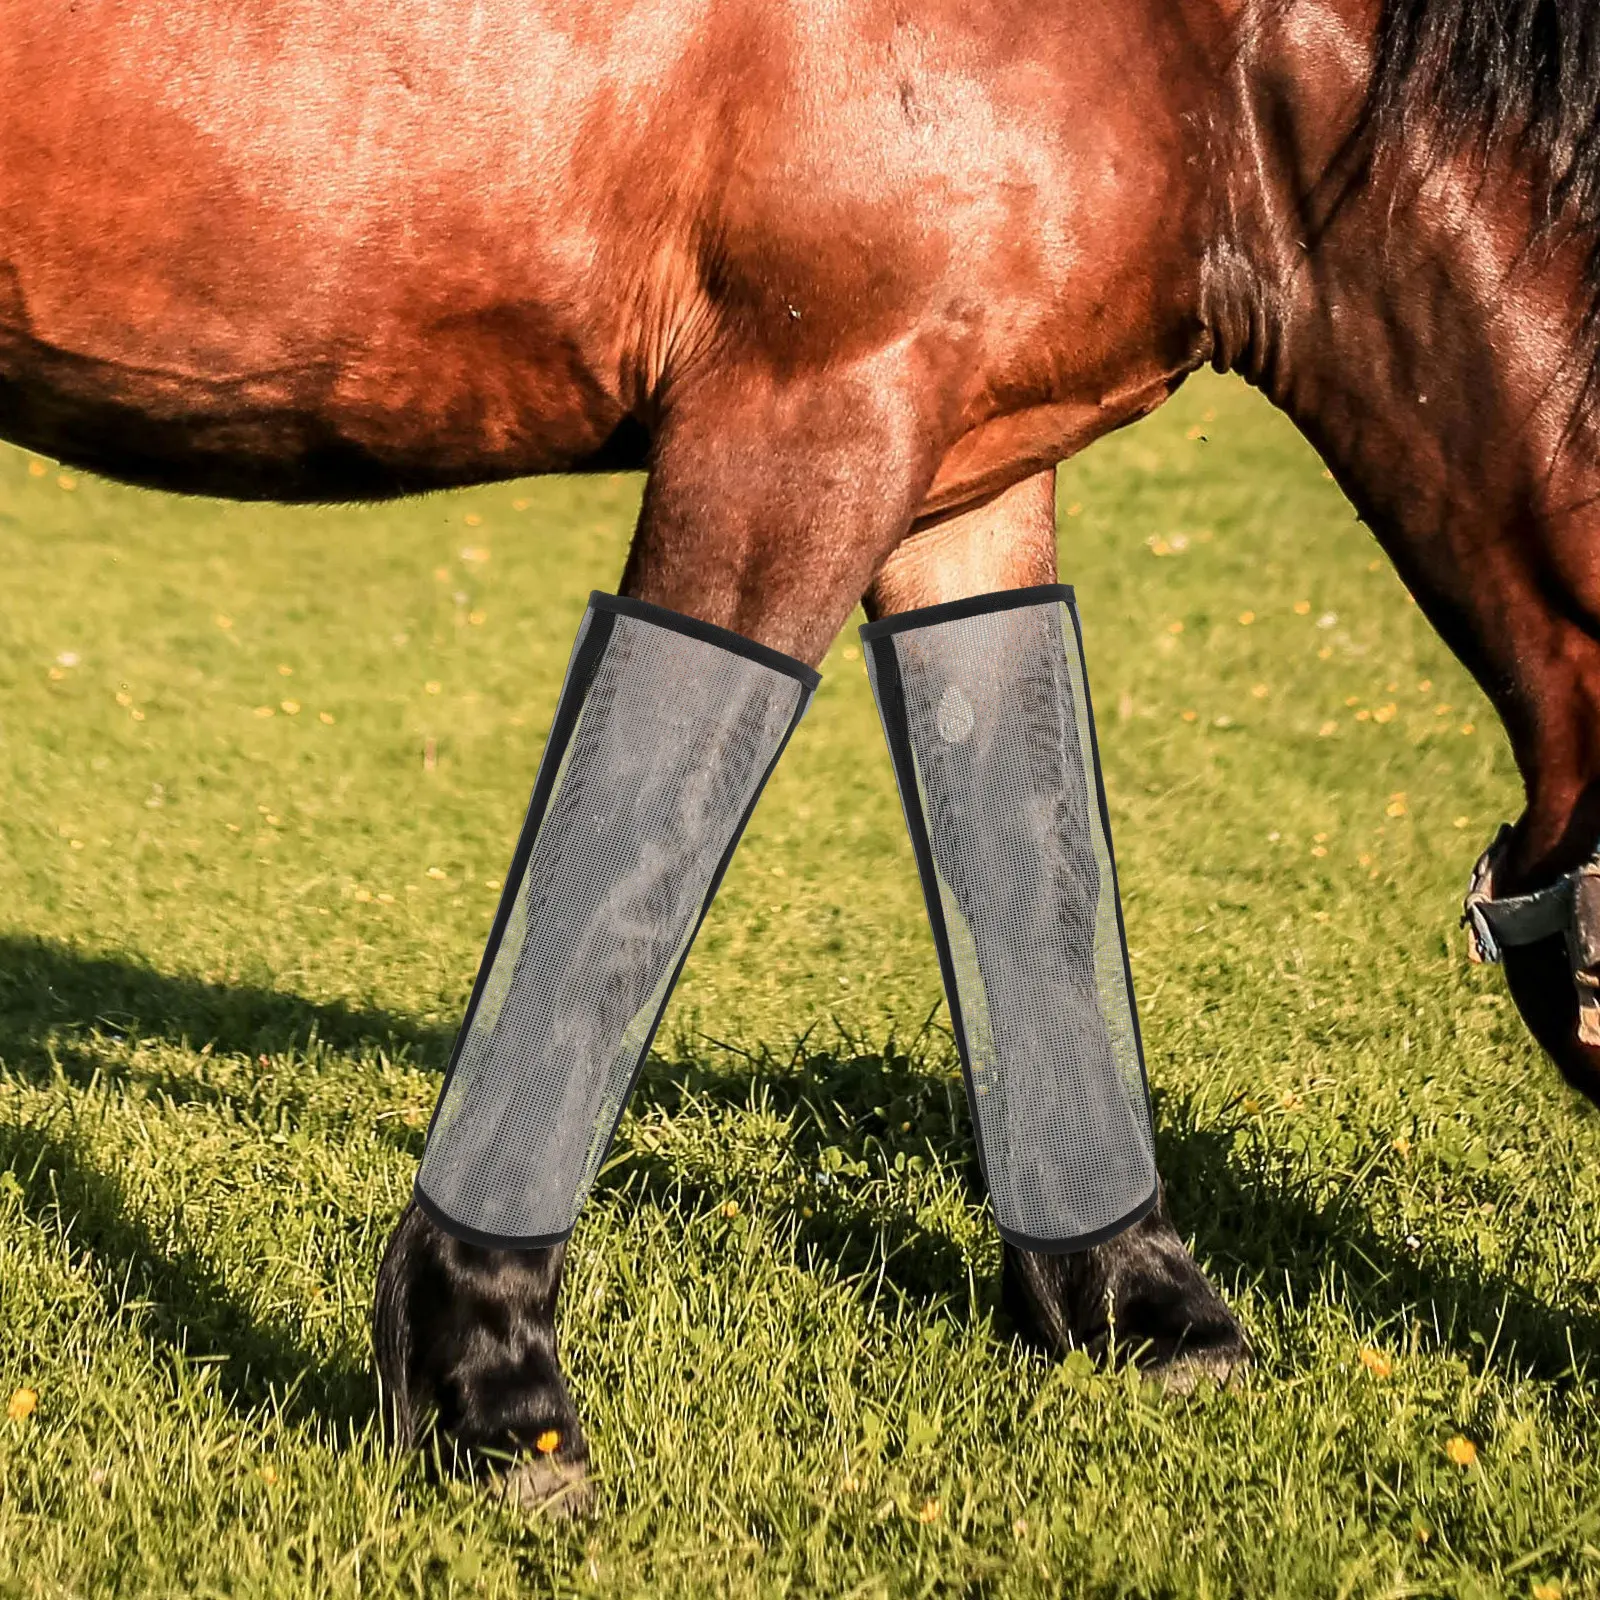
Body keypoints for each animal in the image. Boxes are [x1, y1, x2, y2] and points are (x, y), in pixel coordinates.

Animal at [3, 0, 1597, 1504]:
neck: (1215, 62)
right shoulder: (803, 419)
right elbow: (630, 866)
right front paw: (488, 1379)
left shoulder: (974, 471)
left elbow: (1029, 860)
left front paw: (1133, 1294)